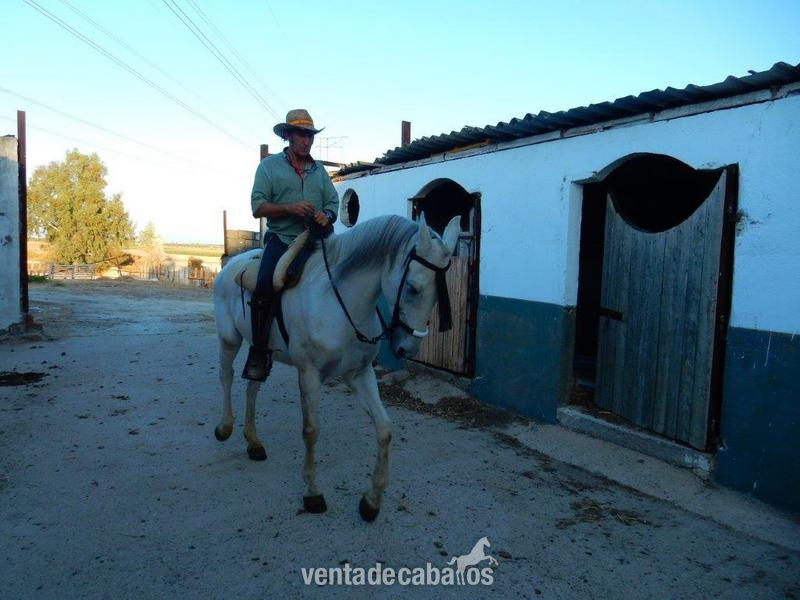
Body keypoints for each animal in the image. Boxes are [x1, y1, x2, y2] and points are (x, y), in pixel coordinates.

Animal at [212, 214, 460, 522]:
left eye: (441, 291)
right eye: (413, 287)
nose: (407, 349)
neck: (339, 301)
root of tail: (231, 264)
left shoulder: (360, 374)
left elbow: (384, 428)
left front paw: (371, 502)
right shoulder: (309, 374)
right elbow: (311, 430)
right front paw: (312, 494)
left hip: (262, 351)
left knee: (252, 387)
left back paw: (254, 443)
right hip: (229, 338)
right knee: (227, 377)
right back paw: (224, 428)